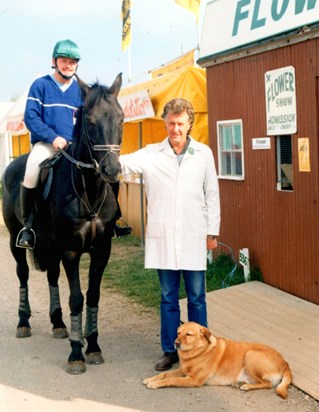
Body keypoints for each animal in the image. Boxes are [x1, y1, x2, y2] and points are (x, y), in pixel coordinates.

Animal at [1, 73, 124, 374]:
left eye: (121, 118)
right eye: (89, 120)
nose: (111, 170)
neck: (88, 190)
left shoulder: (101, 250)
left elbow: (93, 295)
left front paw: (93, 346)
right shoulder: (71, 250)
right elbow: (77, 298)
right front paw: (77, 353)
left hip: (50, 243)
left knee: (52, 277)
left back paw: (57, 323)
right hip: (16, 239)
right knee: (23, 273)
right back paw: (23, 322)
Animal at [144, 320, 294, 398]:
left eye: (188, 334)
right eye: (178, 333)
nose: (175, 343)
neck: (199, 351)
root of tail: (285, 363)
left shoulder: (193, 379)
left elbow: (171, 380)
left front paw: (155, 384)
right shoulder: (182, 371)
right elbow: (164, 374)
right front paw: (151, 379)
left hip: (251, 355)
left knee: (267, 384)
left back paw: (246, 386)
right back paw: (241, 383)